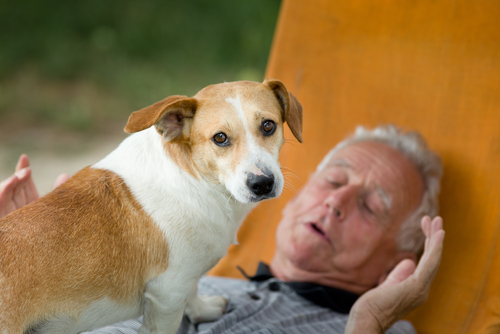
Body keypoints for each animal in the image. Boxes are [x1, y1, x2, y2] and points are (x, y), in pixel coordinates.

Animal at [0, 79, 300, 332]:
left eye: (269, 126)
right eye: (220, 138)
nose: (262, 183)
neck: (195, 180)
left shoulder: (180, 285)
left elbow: (193, 292)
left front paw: (202, 310)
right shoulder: (167, 296)